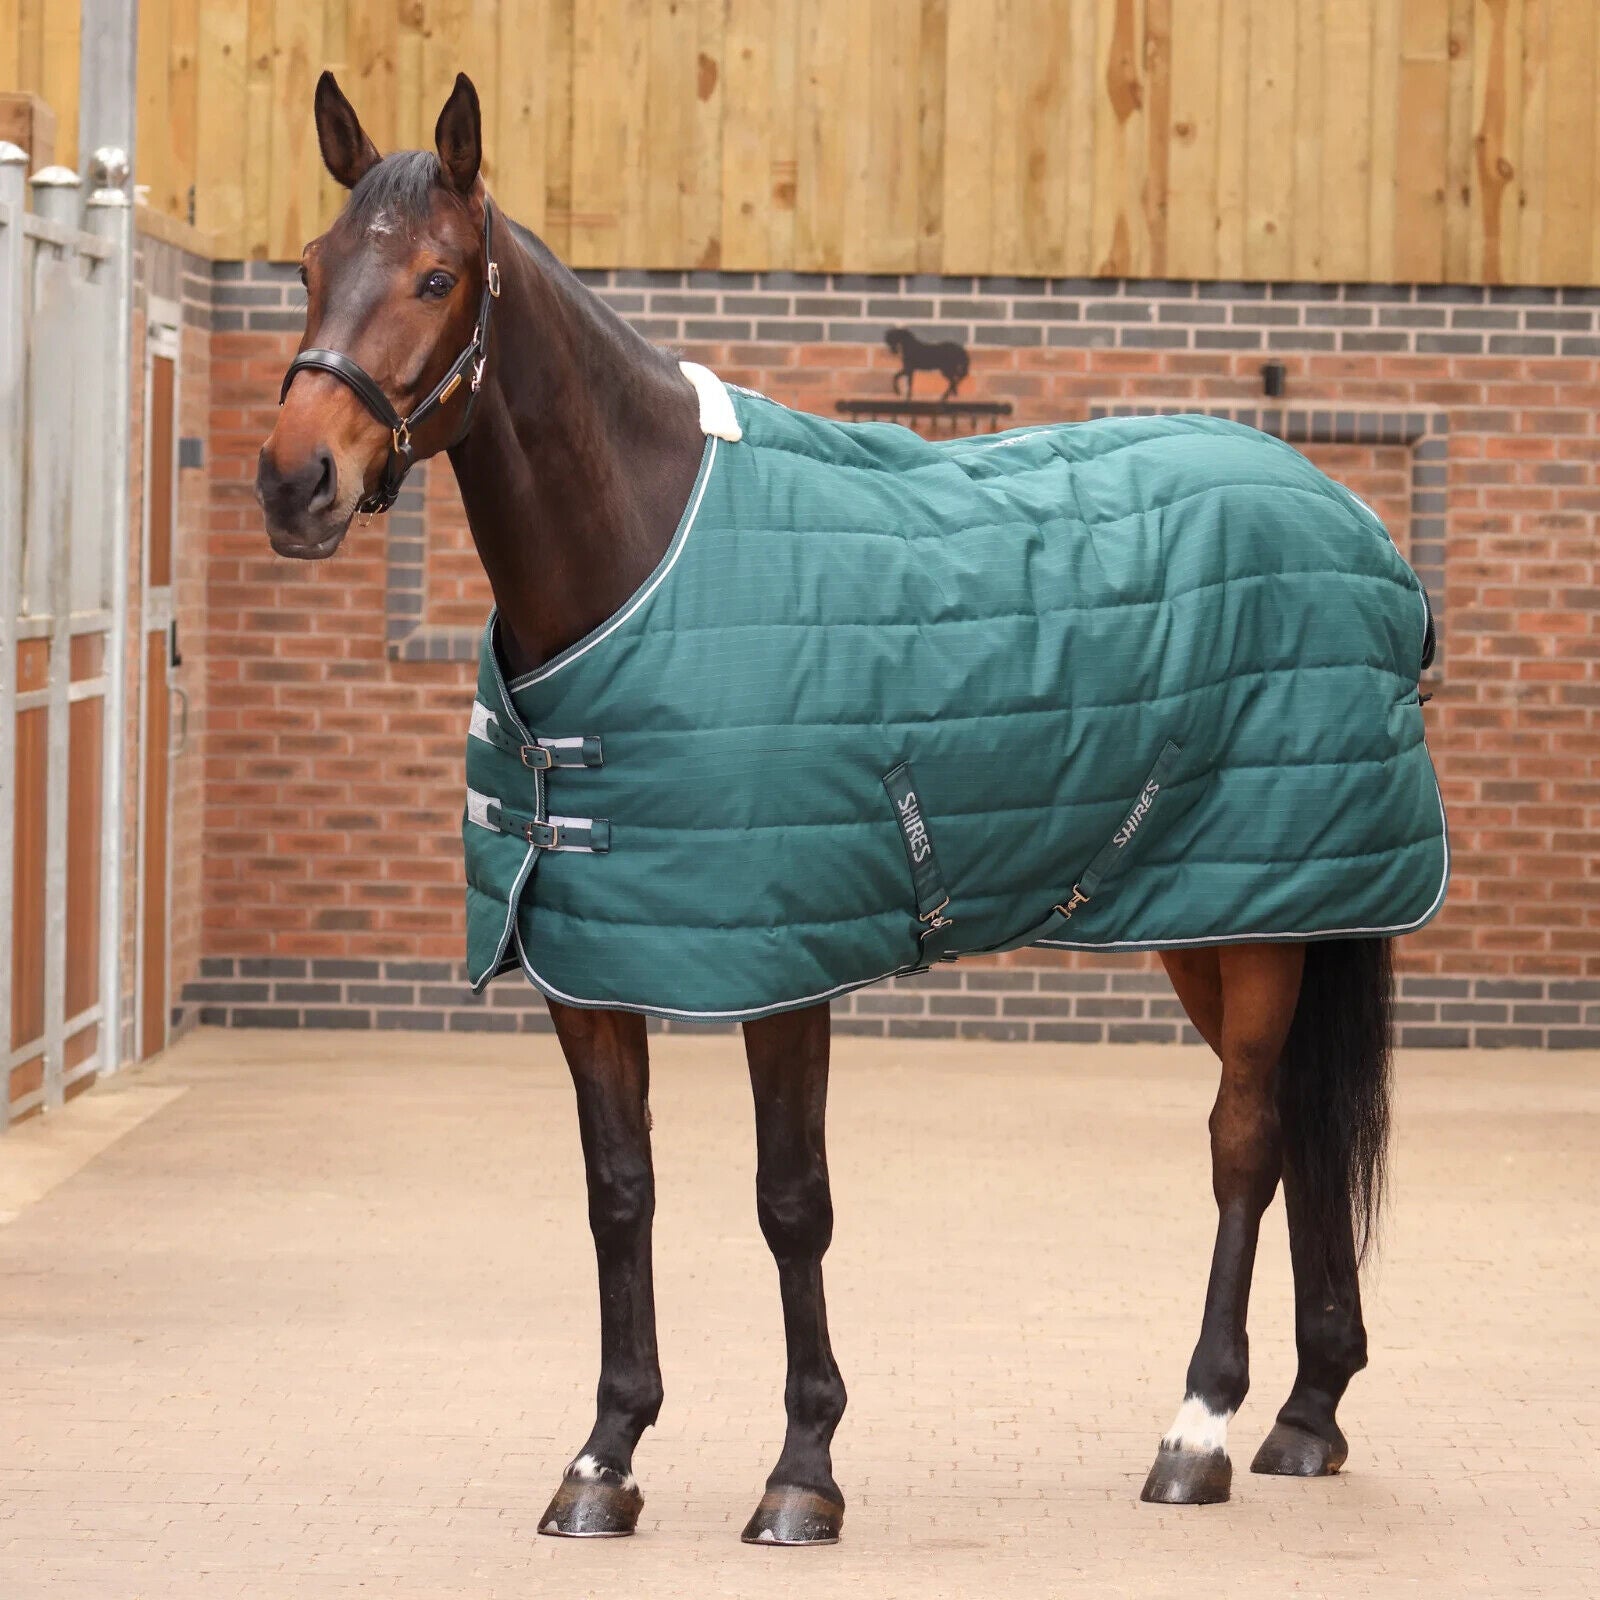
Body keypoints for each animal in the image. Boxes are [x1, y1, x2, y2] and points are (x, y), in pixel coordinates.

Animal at [258, 70, 1410, 1545]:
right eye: (309, 267)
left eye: (437, 275)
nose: (295, 482)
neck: (645, 558)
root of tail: (1352, 524)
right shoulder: (587, 966)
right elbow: (618, 1193)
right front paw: (604, 1458)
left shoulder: (782, 963)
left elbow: (789, 1202)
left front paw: (801, 1470)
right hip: (1233, 916)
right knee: (1303, 1141)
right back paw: (1308, 1414)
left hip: (1262, 927)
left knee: (1247, 1141)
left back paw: (1198, 1428)